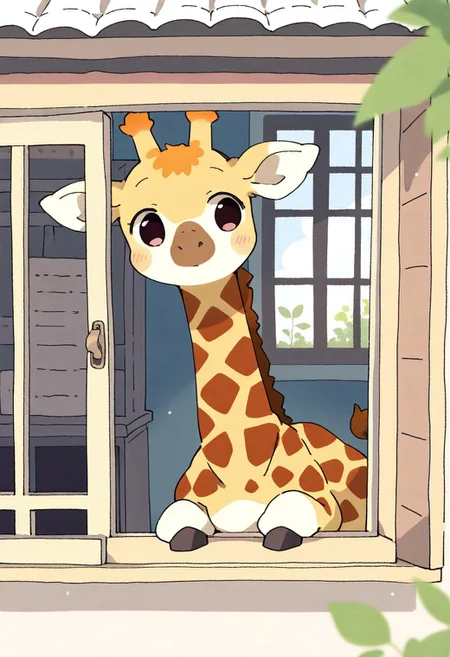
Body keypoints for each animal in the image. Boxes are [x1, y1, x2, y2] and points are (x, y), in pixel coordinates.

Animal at [41, 111, 368, 552]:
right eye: (147, 225)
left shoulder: (323, 507)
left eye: (228, 208)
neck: (239, 470)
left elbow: (284, 518)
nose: (189, 245)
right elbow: (179, 524)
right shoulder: (180, 503)